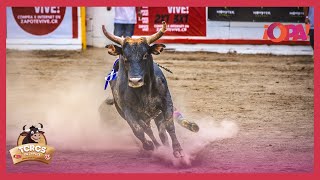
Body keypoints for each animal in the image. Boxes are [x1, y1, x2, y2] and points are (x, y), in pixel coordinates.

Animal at [102, 21, 185, 158]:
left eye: (145, 55)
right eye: (125, 57)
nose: (135, 81)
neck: (144, 92)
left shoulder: (166, 102)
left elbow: (169, 125)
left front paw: (178, 149)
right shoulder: (127, 111)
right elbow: (138, 130)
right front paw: (149, 145)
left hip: (156, 114)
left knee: (161, 132)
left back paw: (165, 146)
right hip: (129, 113)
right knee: (148, 130)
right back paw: (156, 146)